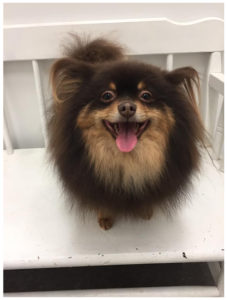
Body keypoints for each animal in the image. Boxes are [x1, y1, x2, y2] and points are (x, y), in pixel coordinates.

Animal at [48, 37, 205, 230]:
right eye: (107, 95)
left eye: (146, 95)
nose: (127, 107)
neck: (128, 160)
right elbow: (103, 202)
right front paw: (105, 217)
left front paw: (146, 211)